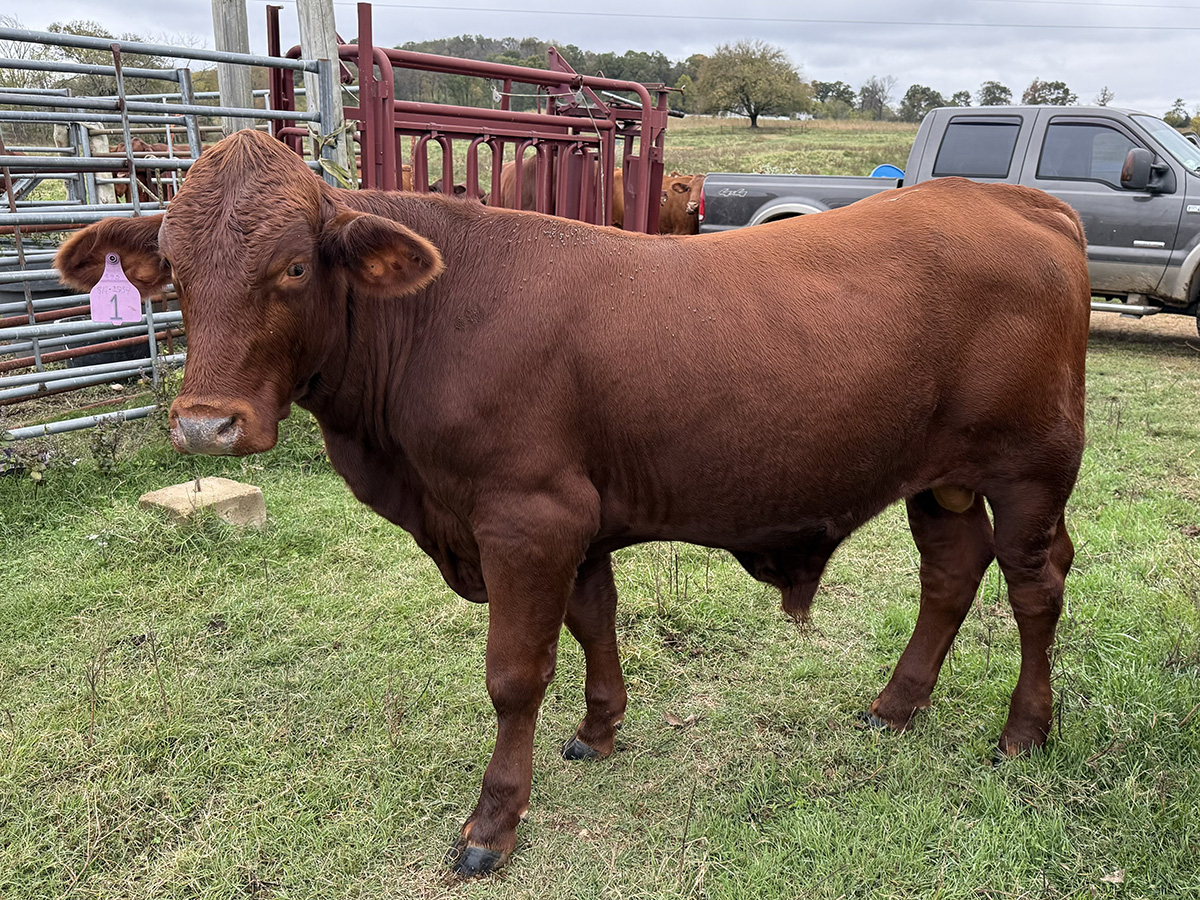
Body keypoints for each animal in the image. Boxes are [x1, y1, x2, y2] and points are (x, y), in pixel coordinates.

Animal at [55, 129, 1090, 879]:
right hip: (940, 478)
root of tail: (1017, 200)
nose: (206, 425)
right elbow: (595, 620)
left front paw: (491, 825)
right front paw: (600, 730)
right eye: (174, 270)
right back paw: (894, 705)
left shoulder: (527, 518)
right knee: (951, 574)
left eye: (296, 267)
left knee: (1034, 587)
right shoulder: (578, 521)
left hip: (1032, 472)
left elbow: (515, 673)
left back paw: (1024, 733)